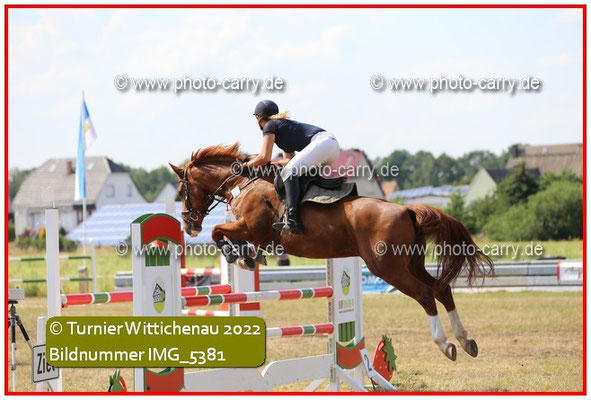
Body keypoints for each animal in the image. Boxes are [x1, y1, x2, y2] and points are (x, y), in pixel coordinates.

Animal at [169, 143, 493, 361]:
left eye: (182, 191)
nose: (189, 225)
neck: (243, 183)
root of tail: (406, 210)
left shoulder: (250, 228)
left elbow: (218, 232)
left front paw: (239, 256)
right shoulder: (250, 231)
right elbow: (226, 235)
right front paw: (249, 257)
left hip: (388, 268)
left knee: (426, 294)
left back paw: (446, 344)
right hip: (410, 263)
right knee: (441, 288)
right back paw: (466, 340)